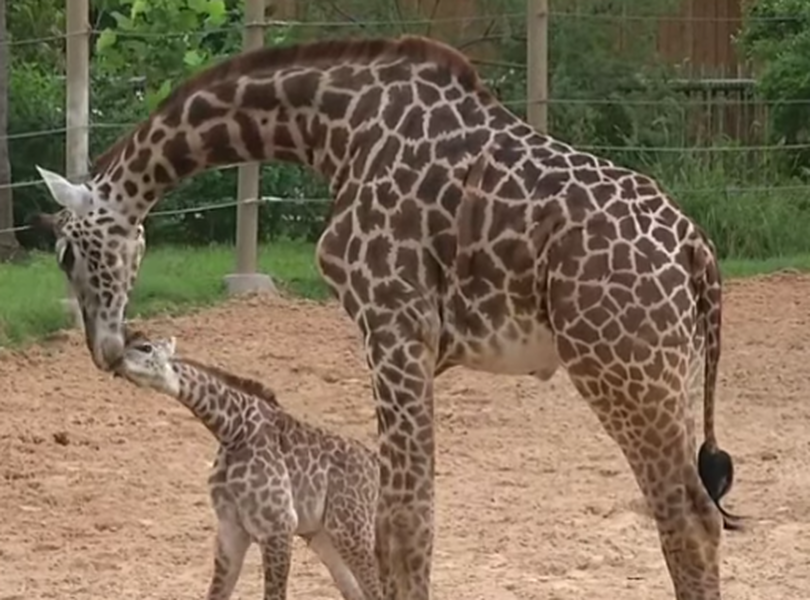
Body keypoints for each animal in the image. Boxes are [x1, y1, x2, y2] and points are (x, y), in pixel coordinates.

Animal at [116, 332, 382, 600]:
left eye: (146, 348)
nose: (116, 361)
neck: (233, 431)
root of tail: (373, 463)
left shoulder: (278, 527)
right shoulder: (230, 529)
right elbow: (216, 593)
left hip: (352, 531)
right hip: (323, 535)